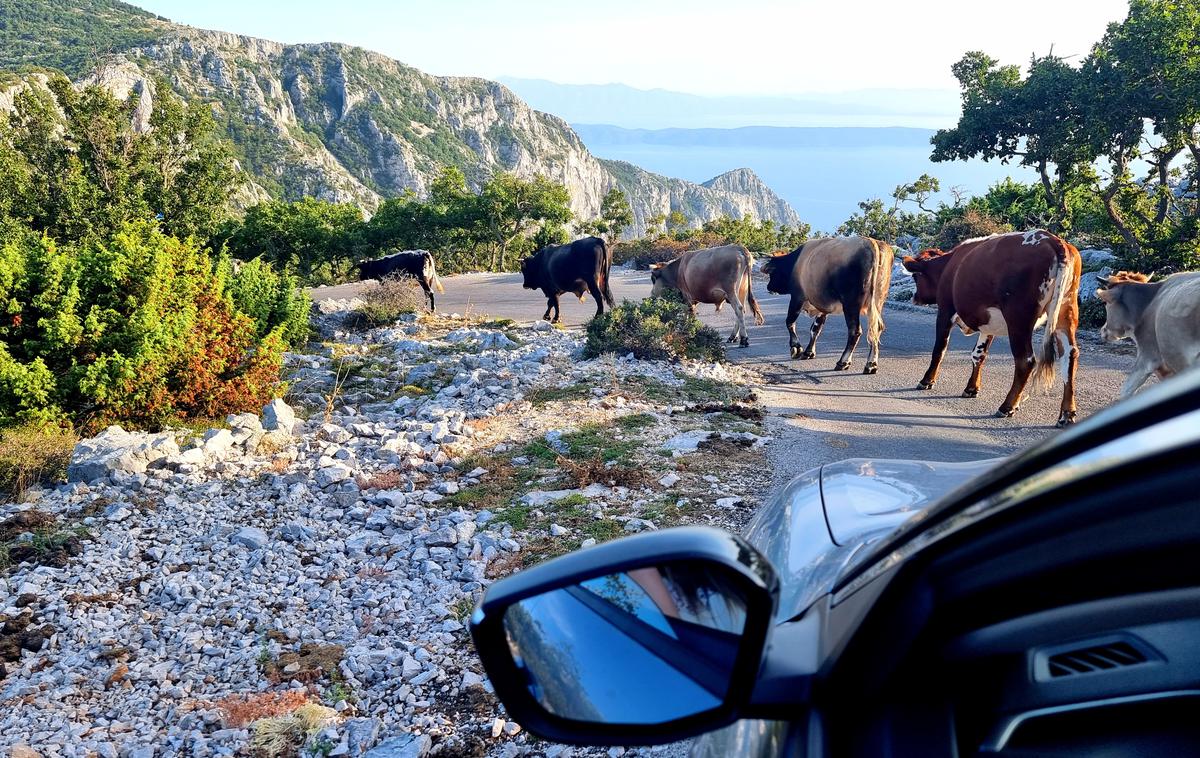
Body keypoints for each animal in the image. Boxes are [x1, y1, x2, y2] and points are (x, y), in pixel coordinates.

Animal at [758, 233, 892, 369]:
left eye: (772, 273)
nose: (769, 287)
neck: (795, 263)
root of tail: (871, 243)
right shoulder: (822, 305)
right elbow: (815, 329)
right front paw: (808, 352)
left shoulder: (797, 297)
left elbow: (790, 322)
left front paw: (796, 348)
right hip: (877, 302)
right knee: (876, 328)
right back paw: (871, 364)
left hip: (851, 303)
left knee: (855, 330)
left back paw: (843, 361)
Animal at [902, 227, 1089, 426]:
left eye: (915, 277)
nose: (914, 297)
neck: (949, 265)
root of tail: (1053, 240)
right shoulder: (988, 323)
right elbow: (978, 354)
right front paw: (971, 388)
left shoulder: (946, 310)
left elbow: (939, 349)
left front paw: (927, 381)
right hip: (1066, 310)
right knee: (1070, 355)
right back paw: (1067, 413)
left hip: (1018, 318)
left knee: (1026, 360)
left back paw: (1007, 406)